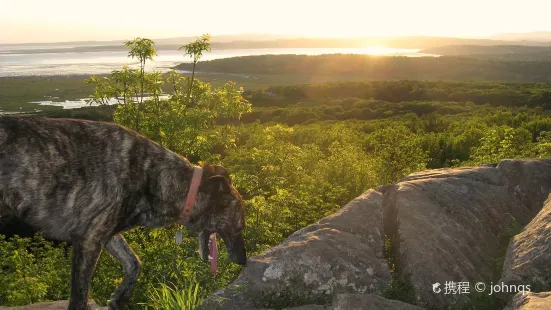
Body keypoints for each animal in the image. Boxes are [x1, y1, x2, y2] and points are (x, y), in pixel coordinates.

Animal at [0, 117, 247, 310]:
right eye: (239, 225)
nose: (244, 261)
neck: (152, 174)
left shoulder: (105, 233)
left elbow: (134, 263)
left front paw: (119, 297)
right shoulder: (88, 240)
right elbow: (79, 297)